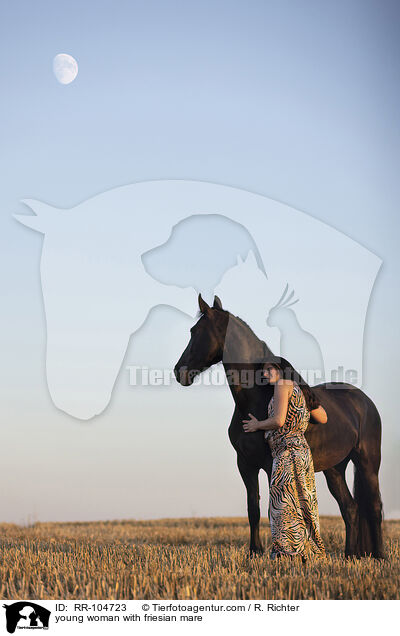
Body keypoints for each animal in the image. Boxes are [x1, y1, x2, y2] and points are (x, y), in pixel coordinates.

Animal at [174, 294, 384, 556]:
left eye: (196, 331)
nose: (179, 372)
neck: (254, 399)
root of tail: (364, 401)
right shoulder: (245, 464)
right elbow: (253, 508)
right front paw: (254, 552)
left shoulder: (268, 463)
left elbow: (271, 509)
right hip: (335, 468)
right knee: (351, 509)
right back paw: (349, 557)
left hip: (368, 461)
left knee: (374, 508)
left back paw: (380, 557)